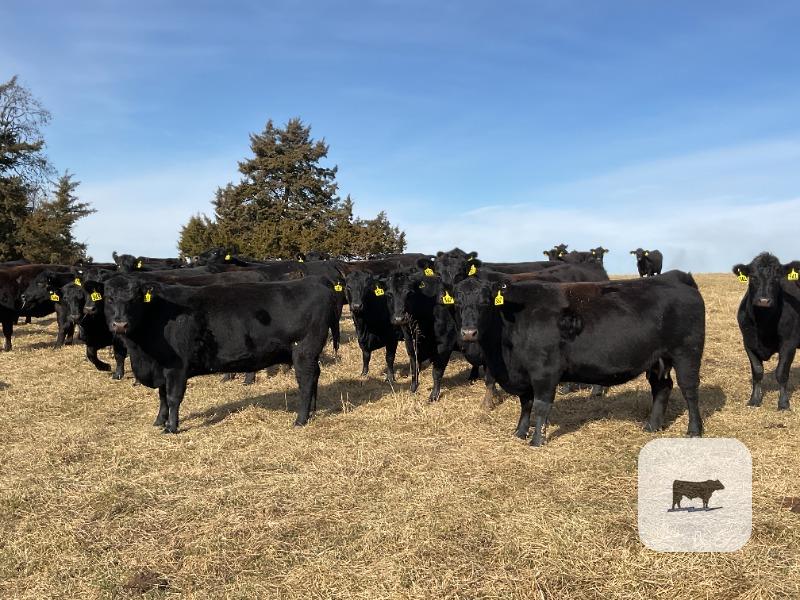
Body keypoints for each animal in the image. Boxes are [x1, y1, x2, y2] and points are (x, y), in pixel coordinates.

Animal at [103, 275, 339, 432]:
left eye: (134, 298)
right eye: (108, 298)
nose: (120, 324)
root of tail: (317, 283)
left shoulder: (176, 367)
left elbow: (172, 398)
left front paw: (171, 427)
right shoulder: (161, 367)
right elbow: (161, 397)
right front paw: (159, 421)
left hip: (303, 352)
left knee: (306, 381)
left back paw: (300, 419)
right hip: (310, 354)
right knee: (315, 376)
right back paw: (313, 411)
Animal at [451, 271, 705, 446]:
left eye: (486, 302)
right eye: (457, 302)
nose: (468, 332)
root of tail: (676, 276)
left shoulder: (545, 371)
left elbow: (541, 406)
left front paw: (537, 440)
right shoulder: (522, 374)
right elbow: (526, 403)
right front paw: (519, 433)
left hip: (687, 353)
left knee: (689, 390)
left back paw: (694, 430)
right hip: (657, 358)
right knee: (662, 387)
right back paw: (652, 426)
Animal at [732, 253, 800, 410]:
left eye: (777, 278)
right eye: (752, 277)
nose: (764, 301)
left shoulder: (789, 343)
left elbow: (781, 373)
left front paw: (783, 403)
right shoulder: (748, 342)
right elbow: (757, 372)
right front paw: (754, 399)